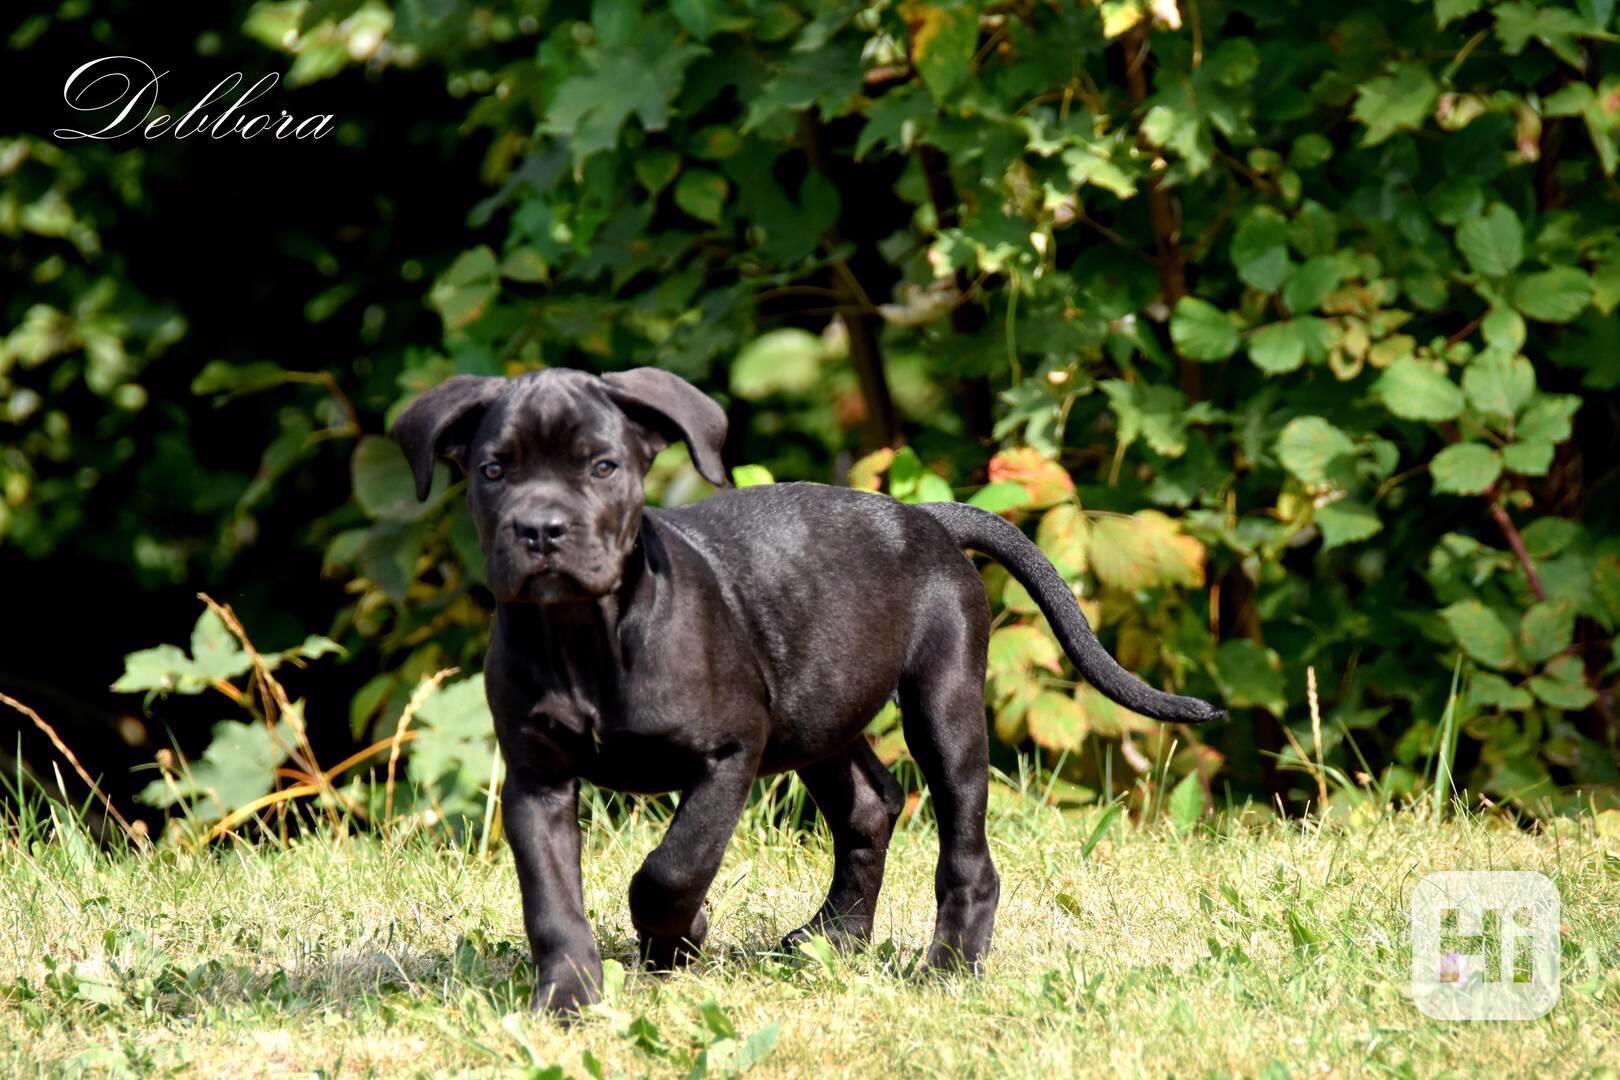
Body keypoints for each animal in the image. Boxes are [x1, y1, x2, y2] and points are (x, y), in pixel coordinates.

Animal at [395, 369, 1224, 1016]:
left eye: (602, 466)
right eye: (492, 471)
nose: (540, 530)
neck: (583, 634)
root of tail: (925, 516)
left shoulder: (729, 754)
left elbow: (673, 867)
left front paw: (678, 937)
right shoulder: (535, 779)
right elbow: (552, 899)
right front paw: (568, 999)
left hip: (942, 707)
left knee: (966, 850)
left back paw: (949, 966)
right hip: (817, 714)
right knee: (869, 805)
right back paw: (832, 939)